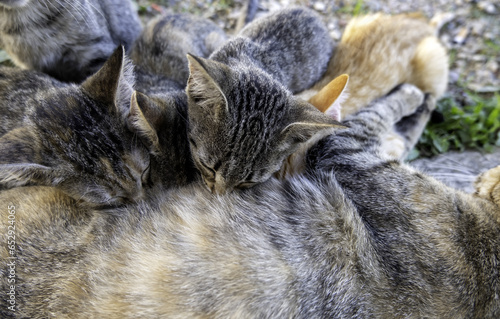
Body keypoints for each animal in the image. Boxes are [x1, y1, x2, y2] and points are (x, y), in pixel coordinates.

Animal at [1, 84, 498, 318]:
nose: (485, 174)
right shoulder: (350, 155)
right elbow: (382, 120)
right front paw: (419, 97)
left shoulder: (347, 156)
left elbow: (369, 118)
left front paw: (412, 96)